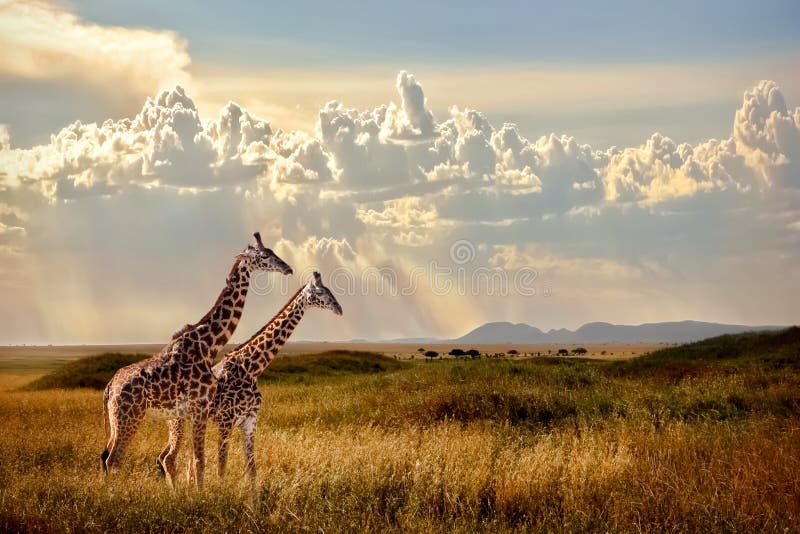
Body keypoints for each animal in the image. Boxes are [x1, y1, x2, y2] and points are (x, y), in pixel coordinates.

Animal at [100, 232, 292, 488]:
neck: (208, 345)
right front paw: (202, 494)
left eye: (272, 252)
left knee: (107, 456)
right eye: (263, 256)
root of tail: (109, 388)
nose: (288, 268)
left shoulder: (196, 411)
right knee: (114, 459)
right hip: (129, 418)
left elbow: (197, 460)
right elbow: (200, 461)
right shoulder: (200, 407)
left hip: (117, 422)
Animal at [158, 274, 342, 484]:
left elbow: (252, 467)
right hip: (177, 421)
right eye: (320, 292)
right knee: (169, 458)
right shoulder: (226, 421)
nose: (339, 308)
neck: (251, 368)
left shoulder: (250, 420)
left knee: (174, 457)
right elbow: (222, 465)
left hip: (189, 422)